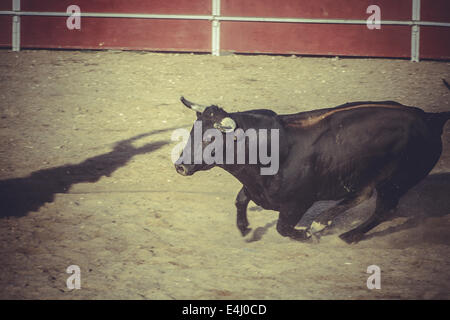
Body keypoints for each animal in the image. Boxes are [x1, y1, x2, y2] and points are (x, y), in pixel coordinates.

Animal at [173, 97, 450, 242]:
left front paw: (308, 234)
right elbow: (241, 199)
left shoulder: (298, 202)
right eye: (193, 131)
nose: (180, 166)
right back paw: (326, 223)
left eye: (211, 139)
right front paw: (244, 228)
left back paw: (345, 234)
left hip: (397, 181)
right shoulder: (256, 188)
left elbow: (283, 228)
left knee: (384, 208)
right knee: (364, 194)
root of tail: (429, 118)